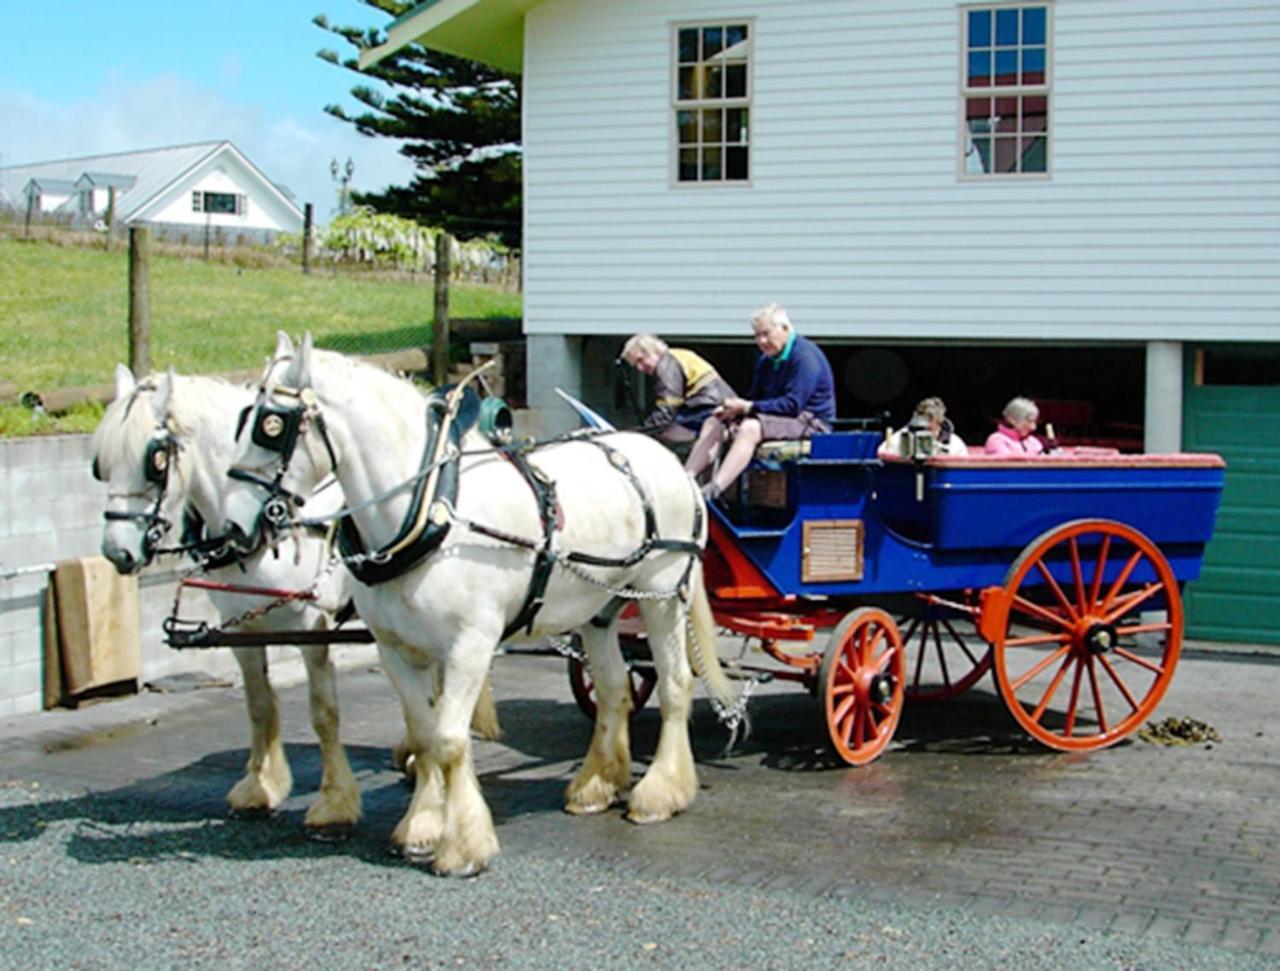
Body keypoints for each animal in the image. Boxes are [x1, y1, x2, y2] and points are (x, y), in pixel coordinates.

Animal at [225, 337, 737, 875]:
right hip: (601, 608)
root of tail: (669, 462)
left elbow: (450, 739)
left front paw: (464, 845)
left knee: (676, 684)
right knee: (615, 688)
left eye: (272, 424)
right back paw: (596, 784)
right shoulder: (395, 648)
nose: (235, 528)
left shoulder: (470, 644)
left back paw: (661, 792)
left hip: (662, 594)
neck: (431, 510)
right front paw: (421, 827)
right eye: (245, 418)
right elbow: (425, 734)